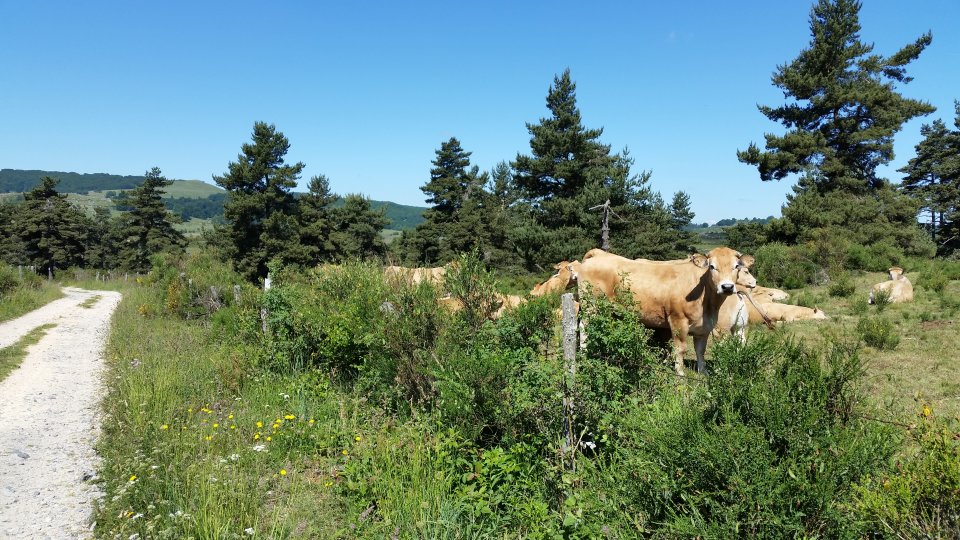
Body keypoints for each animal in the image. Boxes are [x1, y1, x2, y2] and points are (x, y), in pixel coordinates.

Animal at [569, 247, 754, 375]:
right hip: (591, 305)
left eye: (736, 266)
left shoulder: (704, 327)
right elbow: (680, 348)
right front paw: (679, 372)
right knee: (585, 328)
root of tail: (600, 254)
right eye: (712, 267)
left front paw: (704, 372)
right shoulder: (678, 321)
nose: (727, 287)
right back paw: (585, 353)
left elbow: (700, 351)